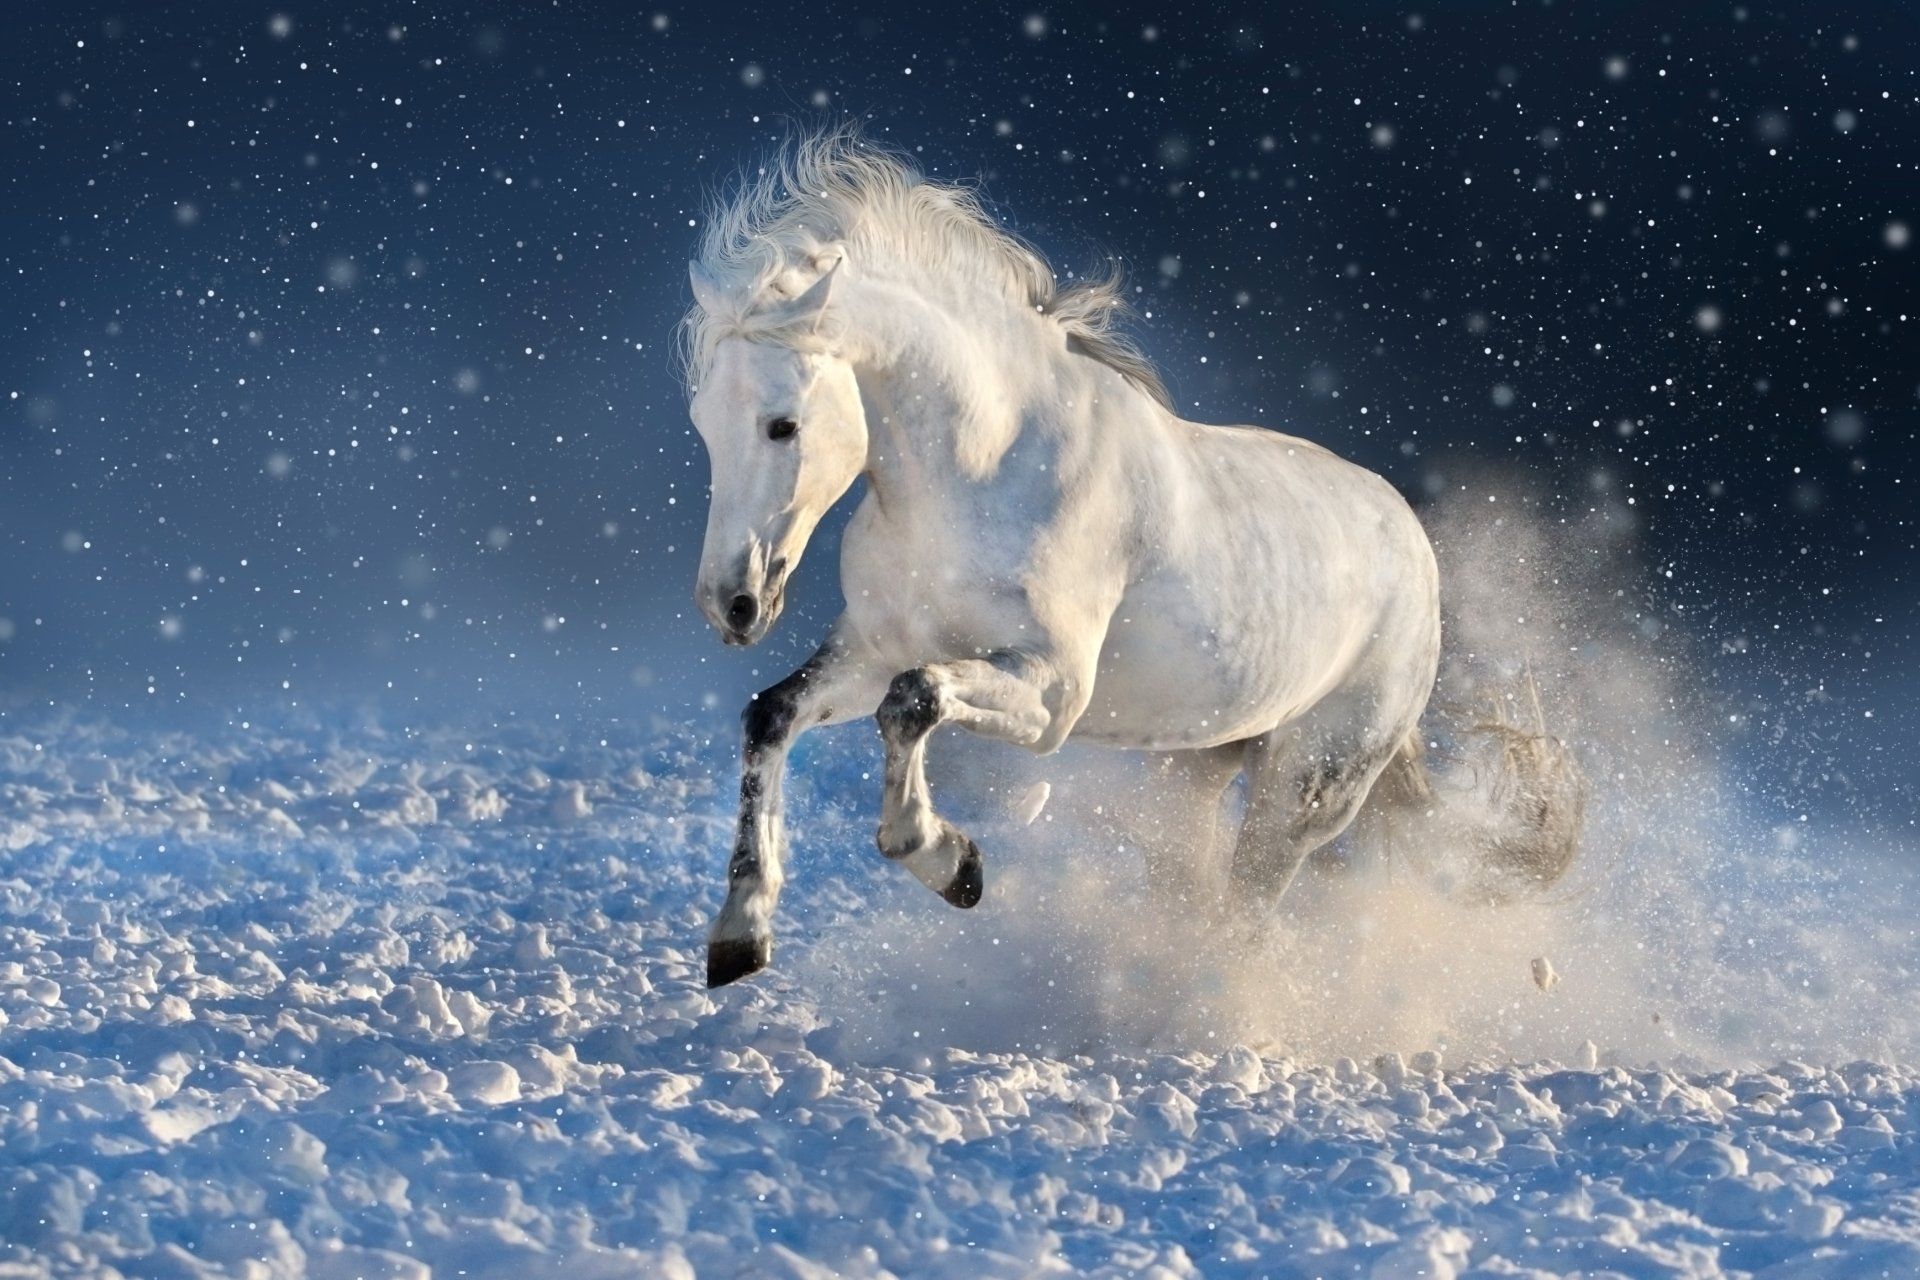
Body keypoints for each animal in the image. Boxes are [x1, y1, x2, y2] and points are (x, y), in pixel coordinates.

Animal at [679, 127, 1582, 988]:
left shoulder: (1052, 692)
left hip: (1310, 785)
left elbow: (914, 702)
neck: (985, 472)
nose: (732, 604)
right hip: (1197, 767)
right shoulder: (873, 650)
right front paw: (740, 935)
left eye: (783, 424)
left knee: (1247, 916)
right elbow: (772, 715)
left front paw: (952, 863)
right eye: (703, 424)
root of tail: (1414, 549)